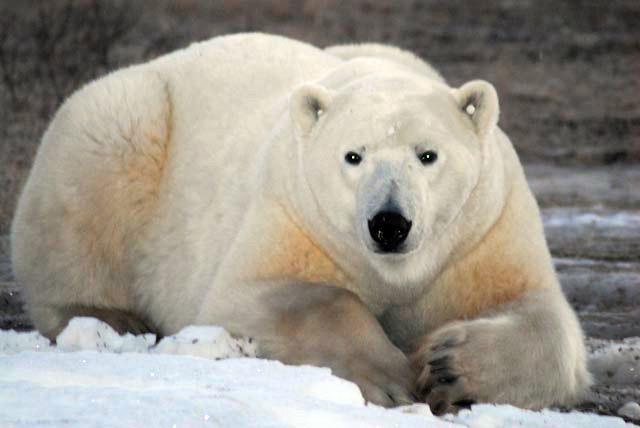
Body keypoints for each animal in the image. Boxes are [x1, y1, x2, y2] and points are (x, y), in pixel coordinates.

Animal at [11, 33, 592, 412]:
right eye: (353, 156)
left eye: (428, 155)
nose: (388, 224)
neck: (399, 272)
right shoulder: (295, 214)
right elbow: (257, 297)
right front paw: (391, 378)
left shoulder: (482, 230)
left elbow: (542, 314)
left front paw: (448, 364)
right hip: (123, 125)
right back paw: (110, 317)